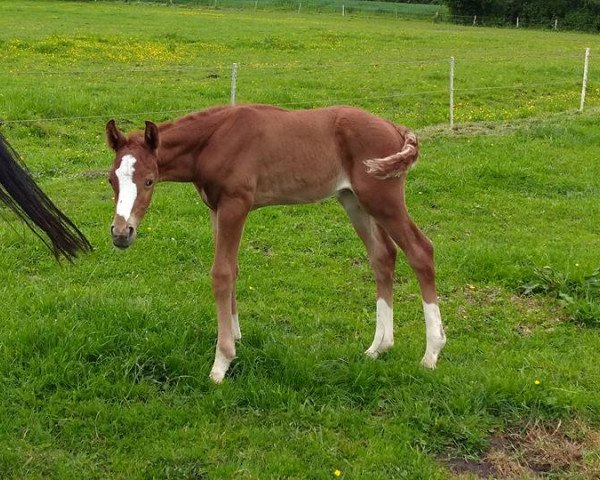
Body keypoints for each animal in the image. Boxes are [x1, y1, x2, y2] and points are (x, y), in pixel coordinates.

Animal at [106, 105, 446, 382]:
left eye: (149, 180)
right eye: (111, 179)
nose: (122, 233)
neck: (214, 140)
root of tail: (394, 126)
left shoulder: (235, 204)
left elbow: (221, 274)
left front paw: (222, 361)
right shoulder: (216, 208)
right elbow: (232, 269)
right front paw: (236, 336)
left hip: (382, 199)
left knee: (421, 251)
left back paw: (431, 354)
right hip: (353, 200)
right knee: (382, 256)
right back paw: (379, 346)